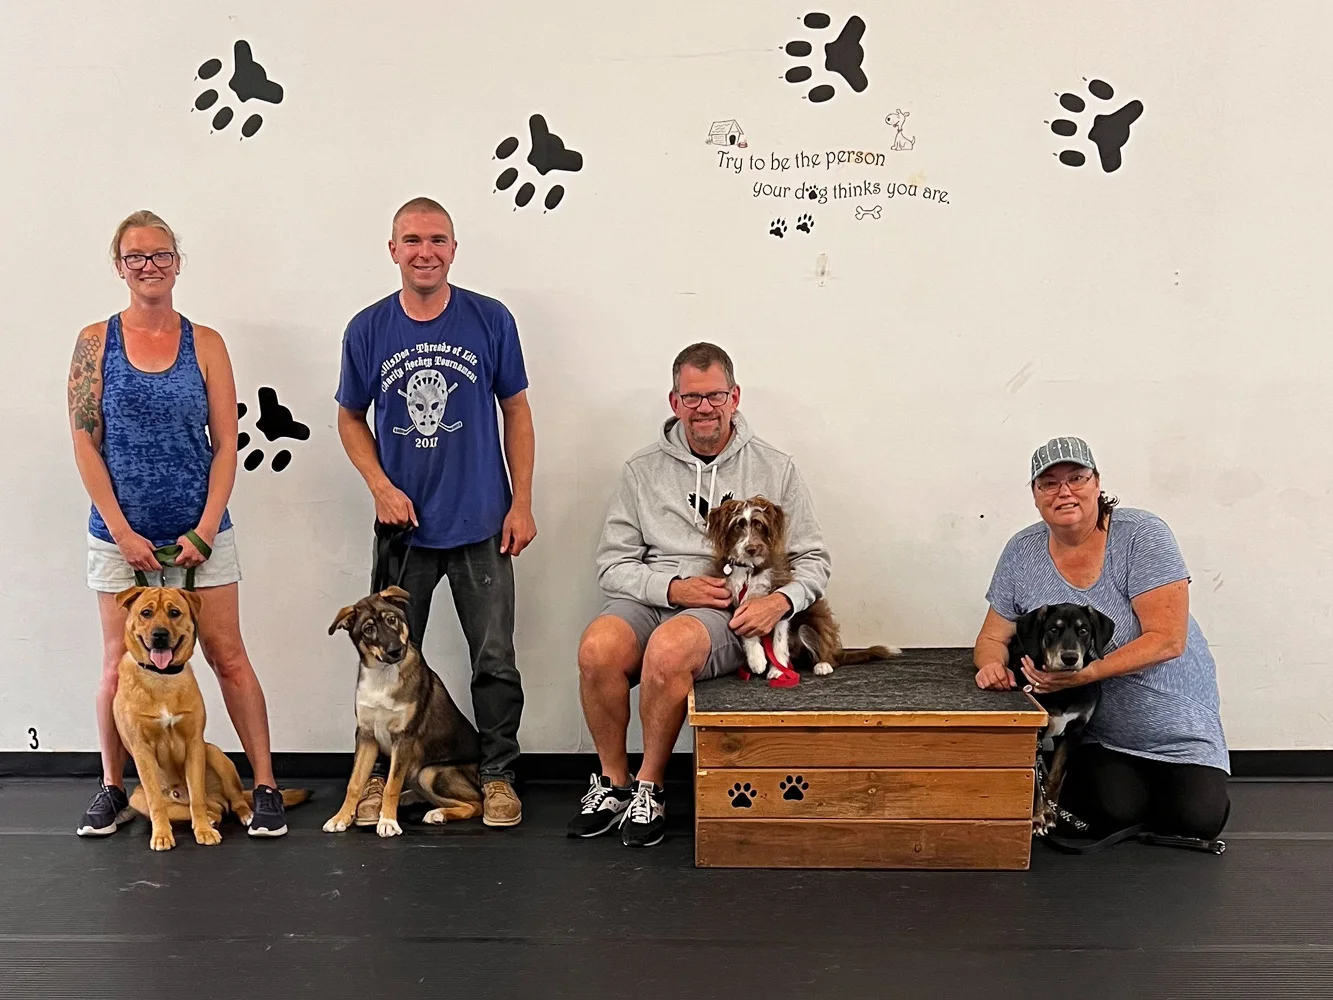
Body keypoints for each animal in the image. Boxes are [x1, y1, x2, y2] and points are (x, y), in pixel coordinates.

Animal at [112, 586, 309, 851]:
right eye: (146, 613)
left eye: (174, 613)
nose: (160, 635)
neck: (163, 678)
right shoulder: (142, 750)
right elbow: (157, 804)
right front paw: (162, 835)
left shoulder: (195, 744)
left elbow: (197, 796)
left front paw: (204, 831)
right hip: (136, 797)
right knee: (197, 808)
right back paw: (210, 817)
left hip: (215, 754)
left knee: (231, 801)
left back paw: (243, 815)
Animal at [324, 586, 483, 837]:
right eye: (368, 629)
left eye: (392, 620)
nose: (395, 651)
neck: (383, 675)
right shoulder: (366, 735)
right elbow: (355, 783)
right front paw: (341, 818)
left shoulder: (404, 737)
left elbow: (392, 784)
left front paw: (388, 821)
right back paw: (408, 798)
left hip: (430, 773)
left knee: (476, 803)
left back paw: (438, 814)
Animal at [705, 495, 898, 683]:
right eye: (737, 526)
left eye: (758, 524)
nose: (751, 549)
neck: (750, 570)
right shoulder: (737, 601)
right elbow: (747, 632)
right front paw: (757, 660)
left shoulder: (777, 606)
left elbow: (778, 642)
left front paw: (778, 670)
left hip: (813, 622)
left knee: (826, 649)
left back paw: (823, 664)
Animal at [1009, 603, 1115, 835]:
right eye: (1053, 630)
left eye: (1083, 630)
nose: (1069, 658)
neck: (1063, 690)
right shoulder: (1037, 735)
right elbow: (1036, 782)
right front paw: (1037, 818)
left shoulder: (1074, 733)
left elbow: (1055, 778)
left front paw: (1050, 814)